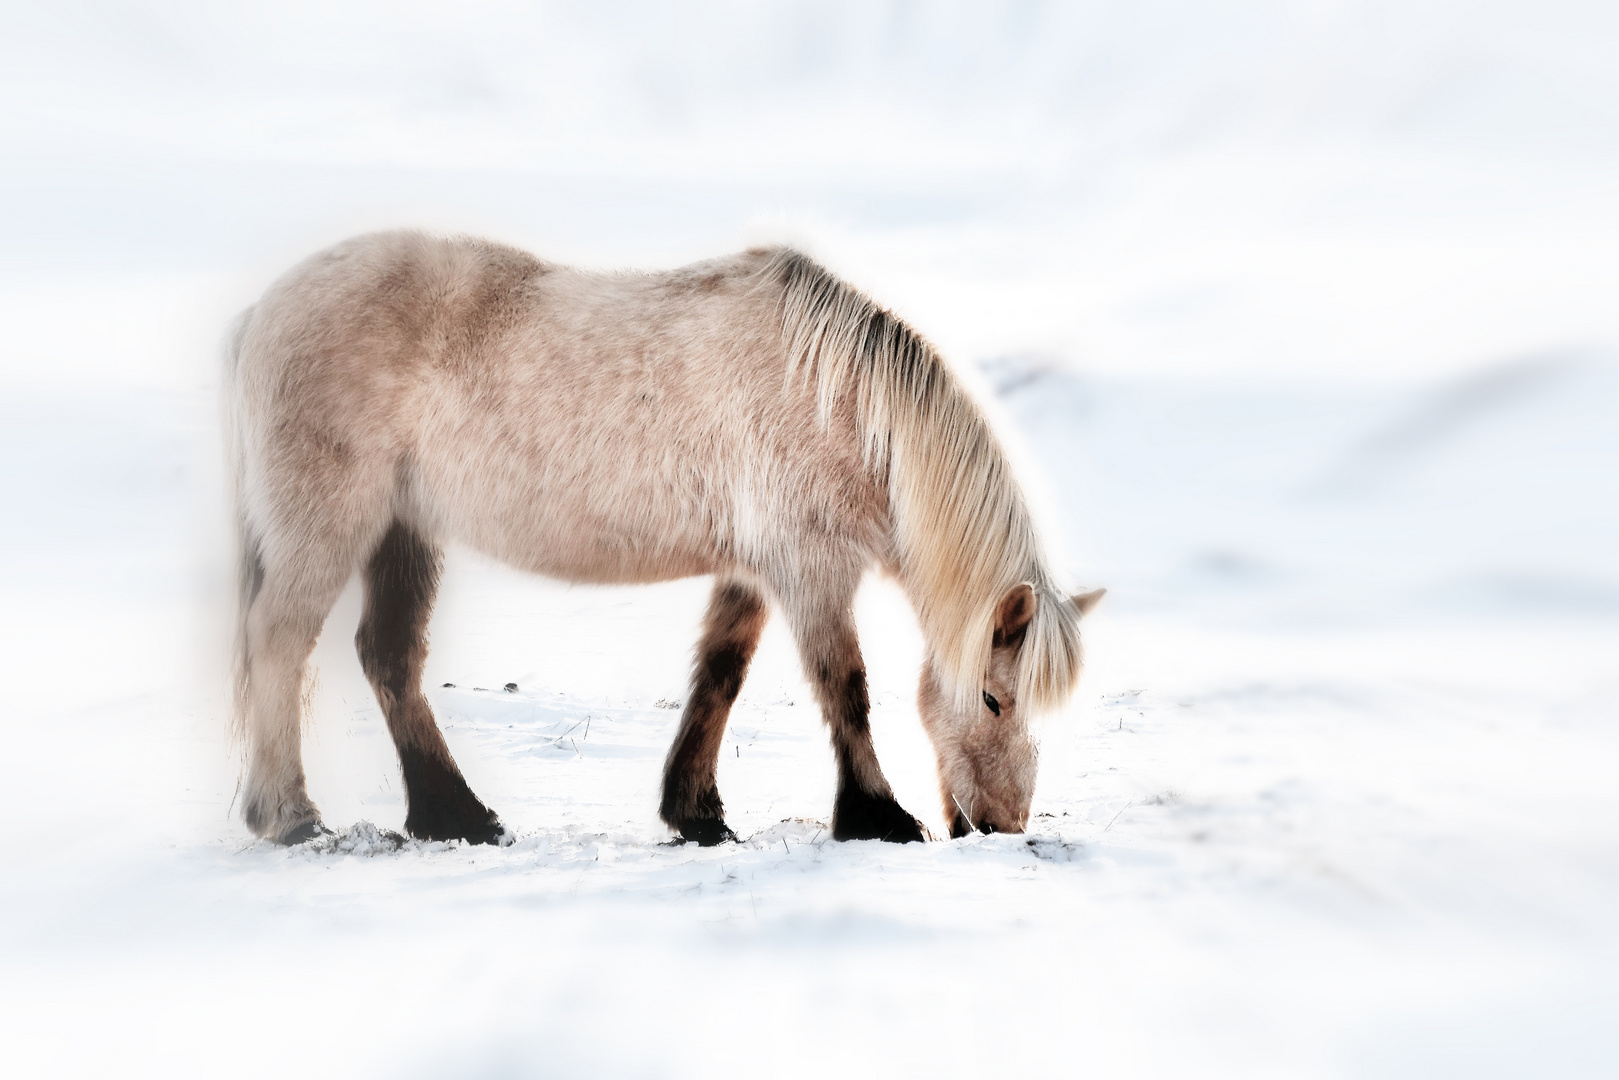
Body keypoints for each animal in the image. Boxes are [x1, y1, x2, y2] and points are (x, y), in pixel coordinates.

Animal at [228, 233, 1107, 848]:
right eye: (993, 698)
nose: (1002, 825)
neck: (840, 400)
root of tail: (259, 313)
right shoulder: (810, 568)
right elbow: (844, 686)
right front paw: (877, 816)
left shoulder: (752, 572)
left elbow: (719, 677)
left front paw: (695, 813)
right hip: (332, 522)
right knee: (280, 640)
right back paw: (291, 817)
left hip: (403, 530)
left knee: (389, 658)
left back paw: (457, 817)